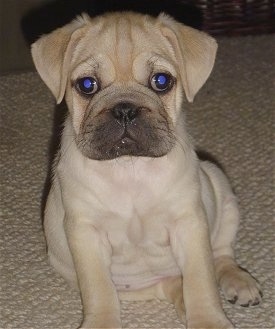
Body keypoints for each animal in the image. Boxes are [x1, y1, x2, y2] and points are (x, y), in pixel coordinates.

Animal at [31, 11, 262, 328]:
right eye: (87, 85)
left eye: (161, 81)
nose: (125, 109)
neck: (131, 168)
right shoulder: (86, 233)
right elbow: (99, 290)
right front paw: (102, 322)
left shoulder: (189, 224)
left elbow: (201, 281)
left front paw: (208, 319)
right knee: (169, 285)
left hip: (219, 184)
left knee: (221, 254)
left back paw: (237, 280)